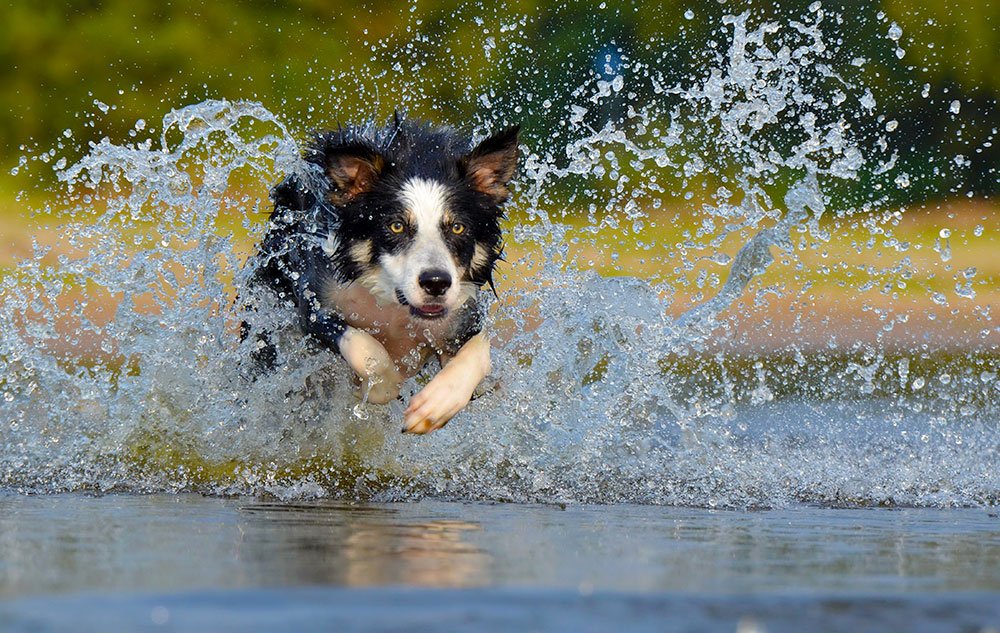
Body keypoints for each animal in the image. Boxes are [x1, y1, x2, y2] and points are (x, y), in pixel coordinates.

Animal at [242, 116, 520, 434]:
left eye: (457, 227)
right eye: (396, 226)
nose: (436, 283)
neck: (393, 305)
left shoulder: (462, 314)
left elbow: (479, 352)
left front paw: (436, 404)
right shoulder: (314, 303)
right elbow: (365, 347)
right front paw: (382, 385)